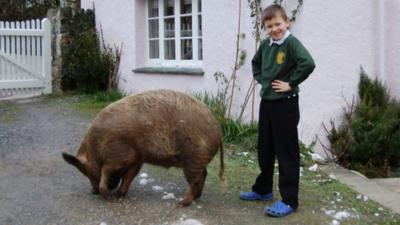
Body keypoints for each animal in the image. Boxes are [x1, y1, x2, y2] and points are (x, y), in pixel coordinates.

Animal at [62, 89, 225, 207]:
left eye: (86, 172)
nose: (92, 191)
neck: (95, 147)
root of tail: (218, 128)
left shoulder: (116, 155)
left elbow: (106, 172)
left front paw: (108, 196)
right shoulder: (137, 159)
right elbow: (128, 177)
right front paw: (119, 194)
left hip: (193, 157)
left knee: (195, 180)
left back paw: (182, 203)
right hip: (197, 159)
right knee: (203, 174)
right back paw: (197, 197)